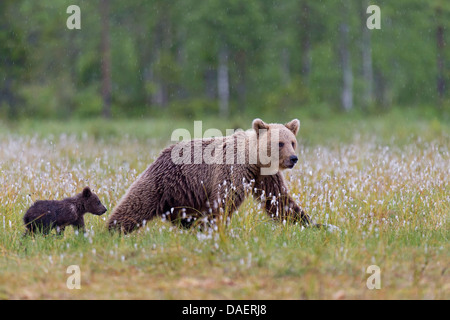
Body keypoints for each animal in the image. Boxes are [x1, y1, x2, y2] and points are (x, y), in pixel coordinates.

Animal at [107, 117, 328, 232]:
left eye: (293, 142)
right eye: (279, 143)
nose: (293, 158)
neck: (254, 161)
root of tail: (163, 152)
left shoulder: (265, 177)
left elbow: (280, 201)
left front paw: (312, 223)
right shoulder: (232, 170)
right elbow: (225, 199)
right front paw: (215, 226)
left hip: (183, 193)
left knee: (183, 214)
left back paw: (193, 226)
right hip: (166, 180)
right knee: (137, 202)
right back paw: (113, 228)